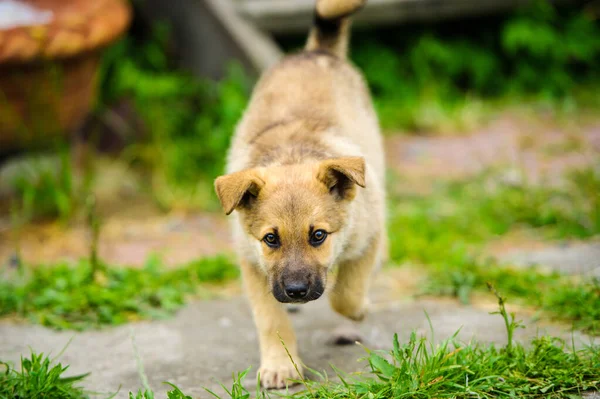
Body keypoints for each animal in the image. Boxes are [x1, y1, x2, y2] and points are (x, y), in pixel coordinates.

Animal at [213, 0, 386, 390]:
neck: (293, 156)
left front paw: (360, 308)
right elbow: (270, 318)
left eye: (318, 235)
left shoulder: (369, 236)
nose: (295, 291)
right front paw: (281, 365)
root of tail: (315, 52)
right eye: (270, 239)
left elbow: (346, 294)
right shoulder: (253, 264)